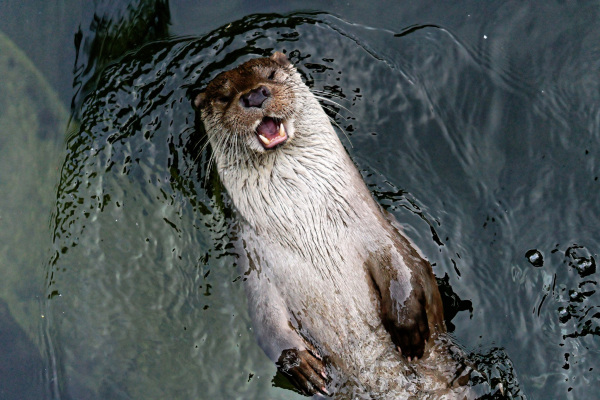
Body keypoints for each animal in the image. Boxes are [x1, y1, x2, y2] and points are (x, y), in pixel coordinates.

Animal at [195, 52, 472, 396]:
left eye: (270, 75)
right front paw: (299, 363)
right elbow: (265, 321)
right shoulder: (255, 265)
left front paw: (406, 328)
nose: (254, 95)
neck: (307, 221)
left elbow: (404, 268)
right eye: (223, 96)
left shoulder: (376, 228)